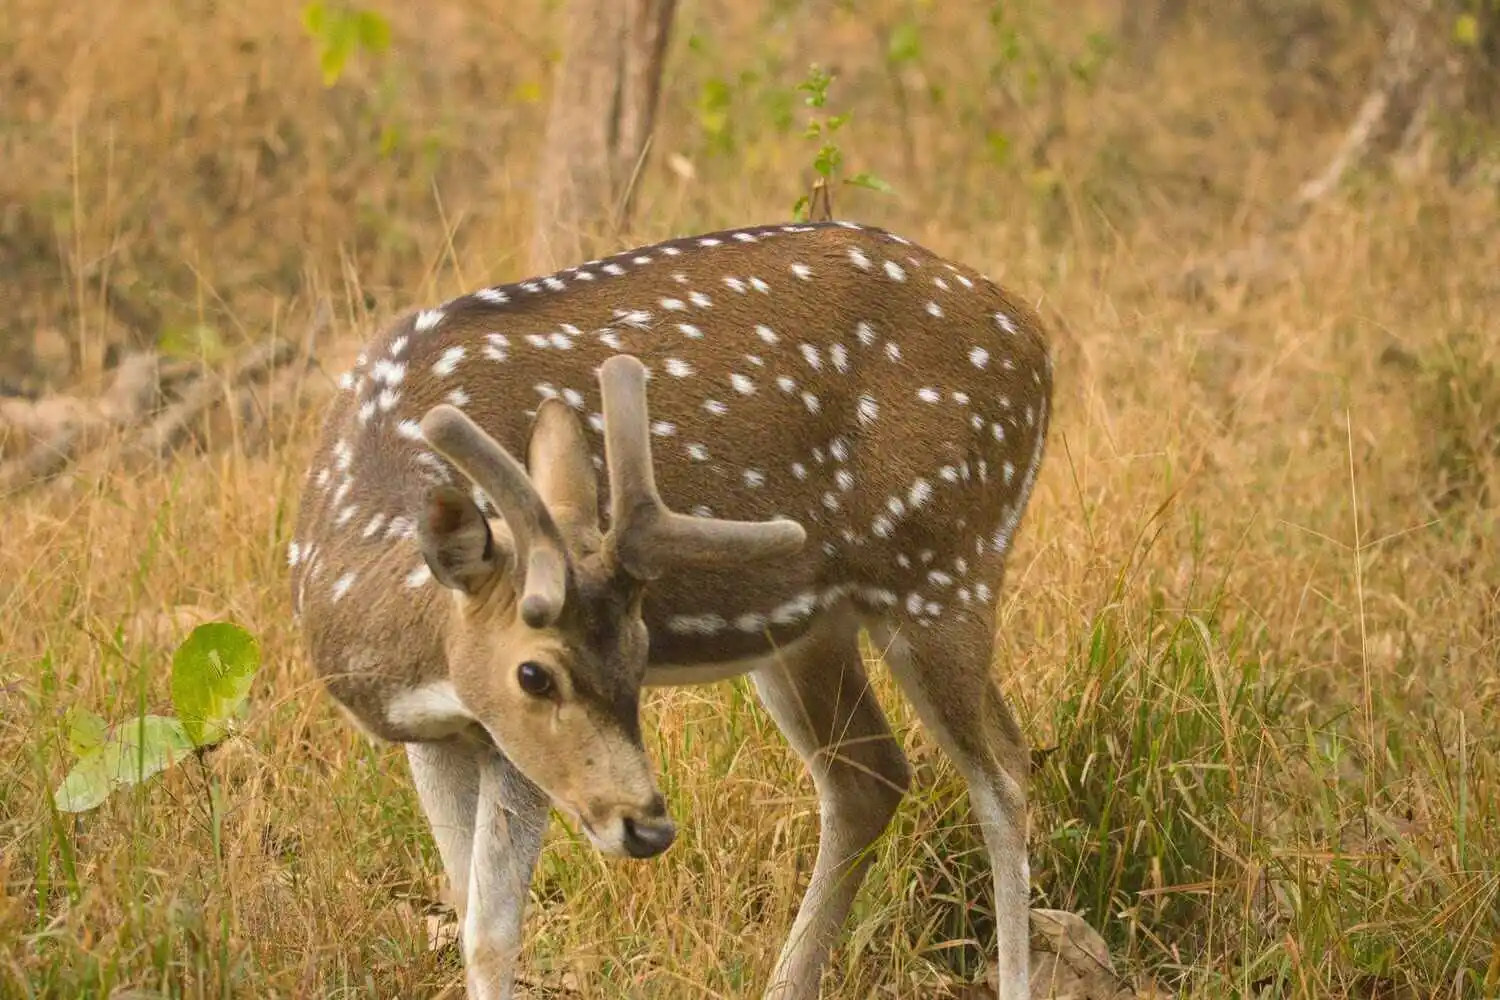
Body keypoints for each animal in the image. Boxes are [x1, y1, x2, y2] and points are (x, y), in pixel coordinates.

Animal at [288, 219, 1053, 1000]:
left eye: (640, 652)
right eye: (535, 674)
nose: (649, 827)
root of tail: (1033, 334)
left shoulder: (505, 745)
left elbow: (490, 936)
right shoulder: (440, 734)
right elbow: (463, 898)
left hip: (945, 562)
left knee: (1002, 768)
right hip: (808, 625)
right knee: (869, 775)